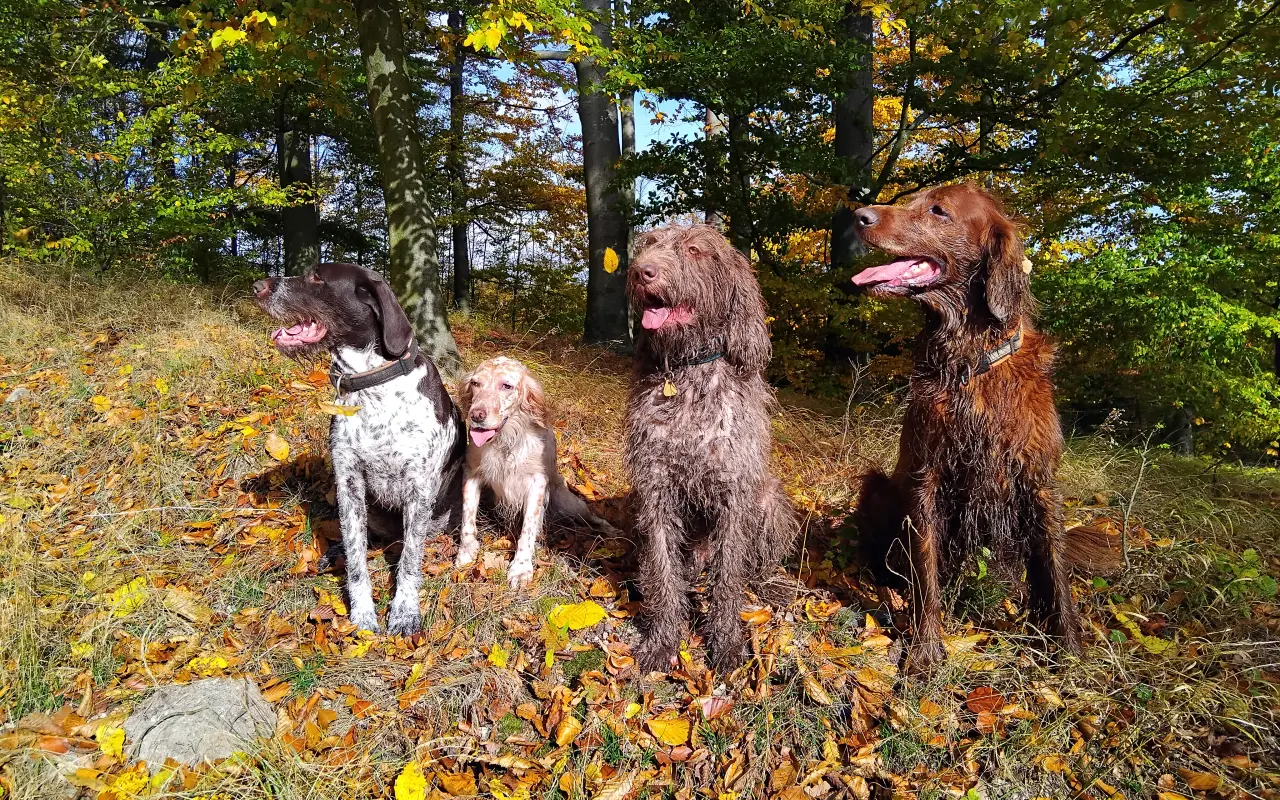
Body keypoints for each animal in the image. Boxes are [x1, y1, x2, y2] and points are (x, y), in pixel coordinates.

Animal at [253, 263, 464, 635]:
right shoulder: (349, 483)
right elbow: (356, 557)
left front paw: (405, 612)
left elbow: (410, 560)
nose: (256, 286)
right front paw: (362, 615)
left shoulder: (418, 489)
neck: (373, 386)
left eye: (316, 277)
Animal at [454, 355, 620, 588]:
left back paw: (612, 531)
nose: (476, 415)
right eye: (475, 383)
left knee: (591, 516)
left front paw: (521, 568)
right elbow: (467, 519)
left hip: (570, 503)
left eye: (506, 386)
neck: (506, 441)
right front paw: (466, 552)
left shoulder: (536, 483)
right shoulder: (472, 472)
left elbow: (528, 529)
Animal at [625, 224, 800, 673]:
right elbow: (664, 569)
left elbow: (728, 578)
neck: (690, 374)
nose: (641, 272)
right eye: (649, 244)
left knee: (753, 567)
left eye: (693, 250)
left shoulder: (734, 495)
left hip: (768, 502)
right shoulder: (656, 489)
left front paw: (726, 642)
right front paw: (663, 640)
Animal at [849, 184, 1120, 672]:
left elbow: (1054, 571)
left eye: (938, 211)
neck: (970, 360)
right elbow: (925, 571)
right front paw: (925, 650)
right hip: (876, 484)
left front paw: (1069, 649)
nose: (859, 215)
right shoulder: (926, 476)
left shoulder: (1038, 481)